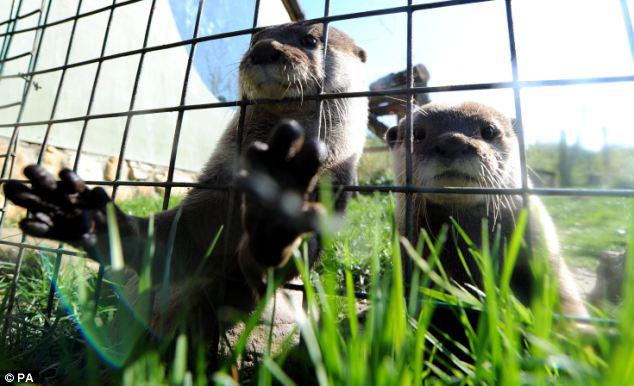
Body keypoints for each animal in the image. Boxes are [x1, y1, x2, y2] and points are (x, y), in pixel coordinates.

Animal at [4, 21, 368, 346]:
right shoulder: (211, 196)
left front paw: (276, 213)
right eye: (256, 37)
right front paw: (87, 216)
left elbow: (271, 269)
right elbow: (171, 244)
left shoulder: (332, 187)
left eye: (311, 39)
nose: (264, 48)